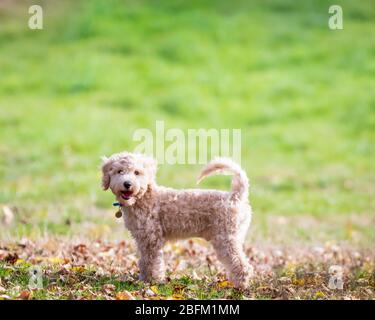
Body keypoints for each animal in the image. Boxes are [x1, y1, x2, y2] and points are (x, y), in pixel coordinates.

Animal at [100, 151, 253, 288]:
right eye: (119, 171)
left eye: (137, 172)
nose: (127, 184)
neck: (143, 197)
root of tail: (235, 196)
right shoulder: (143, 239)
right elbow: (144, 261)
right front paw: (144, 279)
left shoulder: (151, 238)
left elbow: (152, 261)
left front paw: (152, 281)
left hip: (226, 239)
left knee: (241, 264)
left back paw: (240, 286)